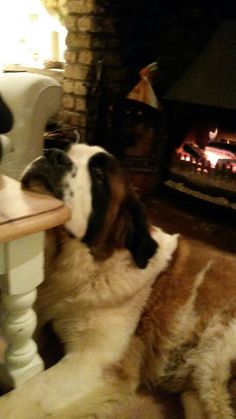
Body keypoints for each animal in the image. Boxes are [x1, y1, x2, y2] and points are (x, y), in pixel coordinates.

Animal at [0, 143, 236, 418]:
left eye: (99, 176)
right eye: (67, 148)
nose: (53, 153)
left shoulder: (92, 362)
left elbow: (20, 399)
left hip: (218, 367)